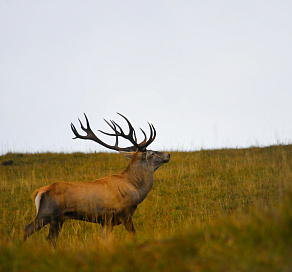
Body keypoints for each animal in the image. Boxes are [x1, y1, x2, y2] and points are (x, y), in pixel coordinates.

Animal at [23, 112, 171, 246]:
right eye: (152, 153)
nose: (168, 155)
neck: (135, 189)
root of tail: (38, 192)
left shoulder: (106, 220)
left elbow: (105, 241)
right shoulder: (124, 212)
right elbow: (133, 235)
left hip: (58, 218)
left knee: (51, 239)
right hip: (47, 212)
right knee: (27, 229)